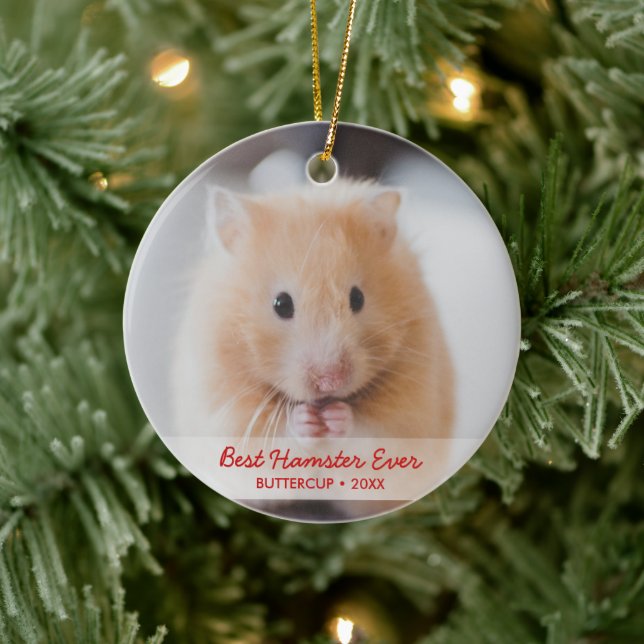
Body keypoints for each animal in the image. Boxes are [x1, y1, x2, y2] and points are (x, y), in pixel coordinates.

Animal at [173, 179, 454, 443]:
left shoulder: (410, 410)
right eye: (281, 304)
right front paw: (305, 420)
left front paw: (337, 417)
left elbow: (371, 428)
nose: (330, 382)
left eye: (358, 298)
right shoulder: (223, 408)